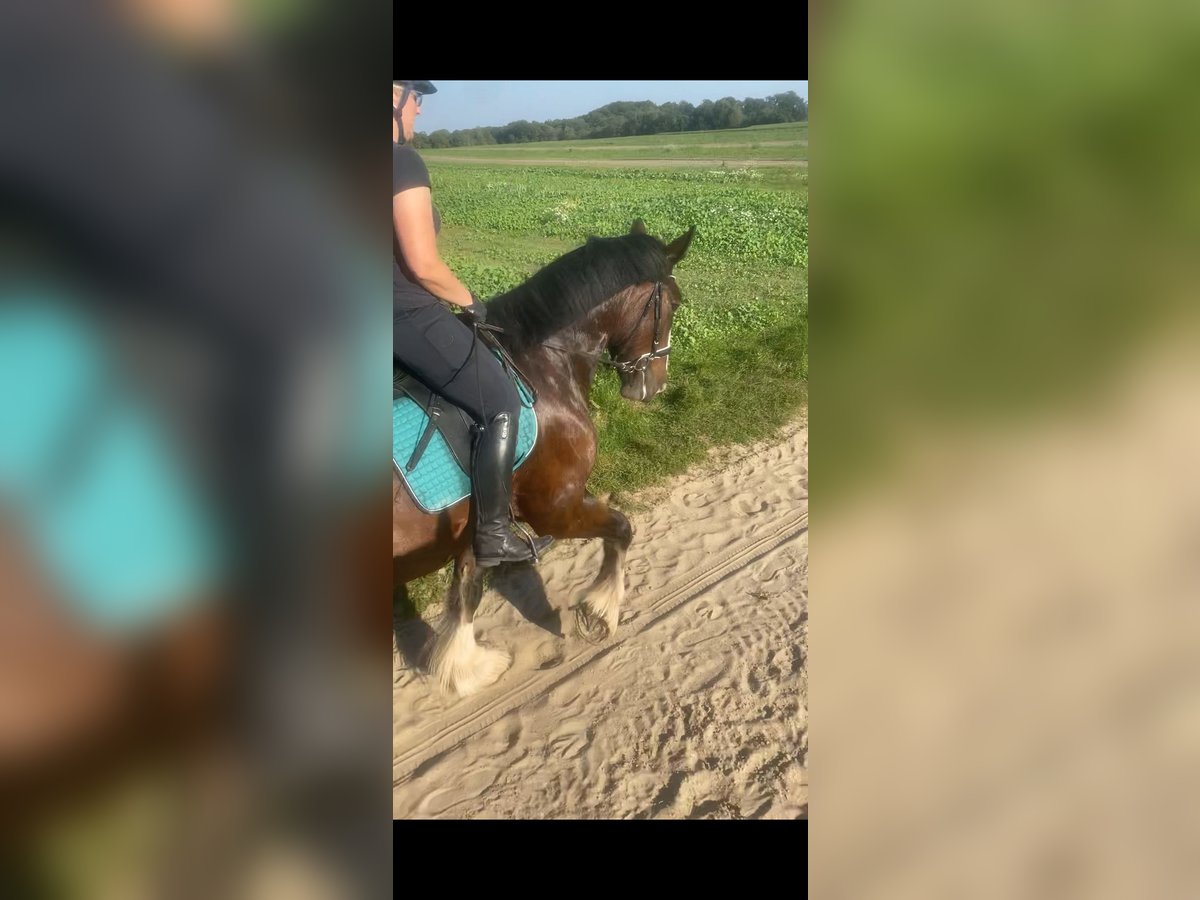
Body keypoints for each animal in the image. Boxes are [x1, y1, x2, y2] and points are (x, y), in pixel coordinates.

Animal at [393, 218, 696, 696]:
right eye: (676, 302)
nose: (657, 385)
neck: (539, 362)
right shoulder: (557, 509)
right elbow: (622, 528)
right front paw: (600, 612)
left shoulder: (481, 520)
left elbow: (468, 589)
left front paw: (465, 668)